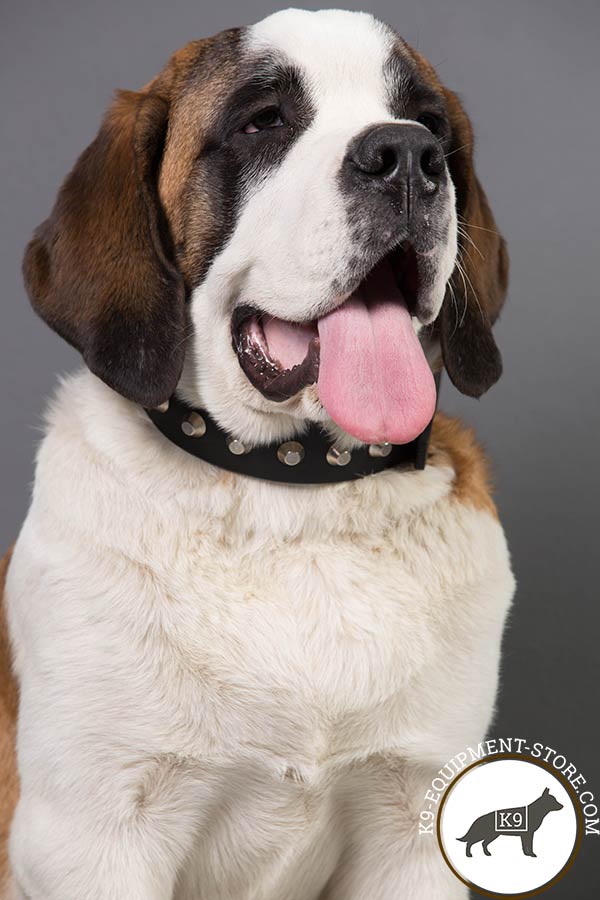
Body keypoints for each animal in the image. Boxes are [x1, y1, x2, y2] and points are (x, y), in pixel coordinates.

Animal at [0, 8, 516, 900]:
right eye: (264, 121)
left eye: (433, 127)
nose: (405, 155)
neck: (291, 493)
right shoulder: (95, 836)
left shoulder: (414, 825)